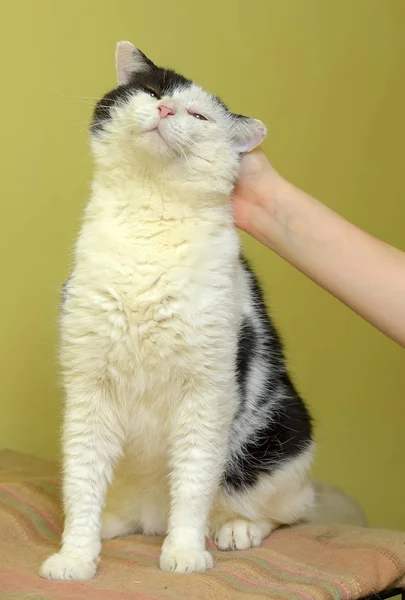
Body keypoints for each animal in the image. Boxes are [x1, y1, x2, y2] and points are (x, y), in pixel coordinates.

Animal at [40, 42, 312, 580]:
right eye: (153, 91)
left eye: (199, 115)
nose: (166, 110)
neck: (149, 217)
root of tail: (149, 518)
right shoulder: (88, 388)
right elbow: (82, 482)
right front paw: (75, 555)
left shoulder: (207, 392)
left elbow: (193, 482)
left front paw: (184, 552)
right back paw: (112, 524)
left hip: (286, 432)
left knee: (285, 508)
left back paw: (235, 529)